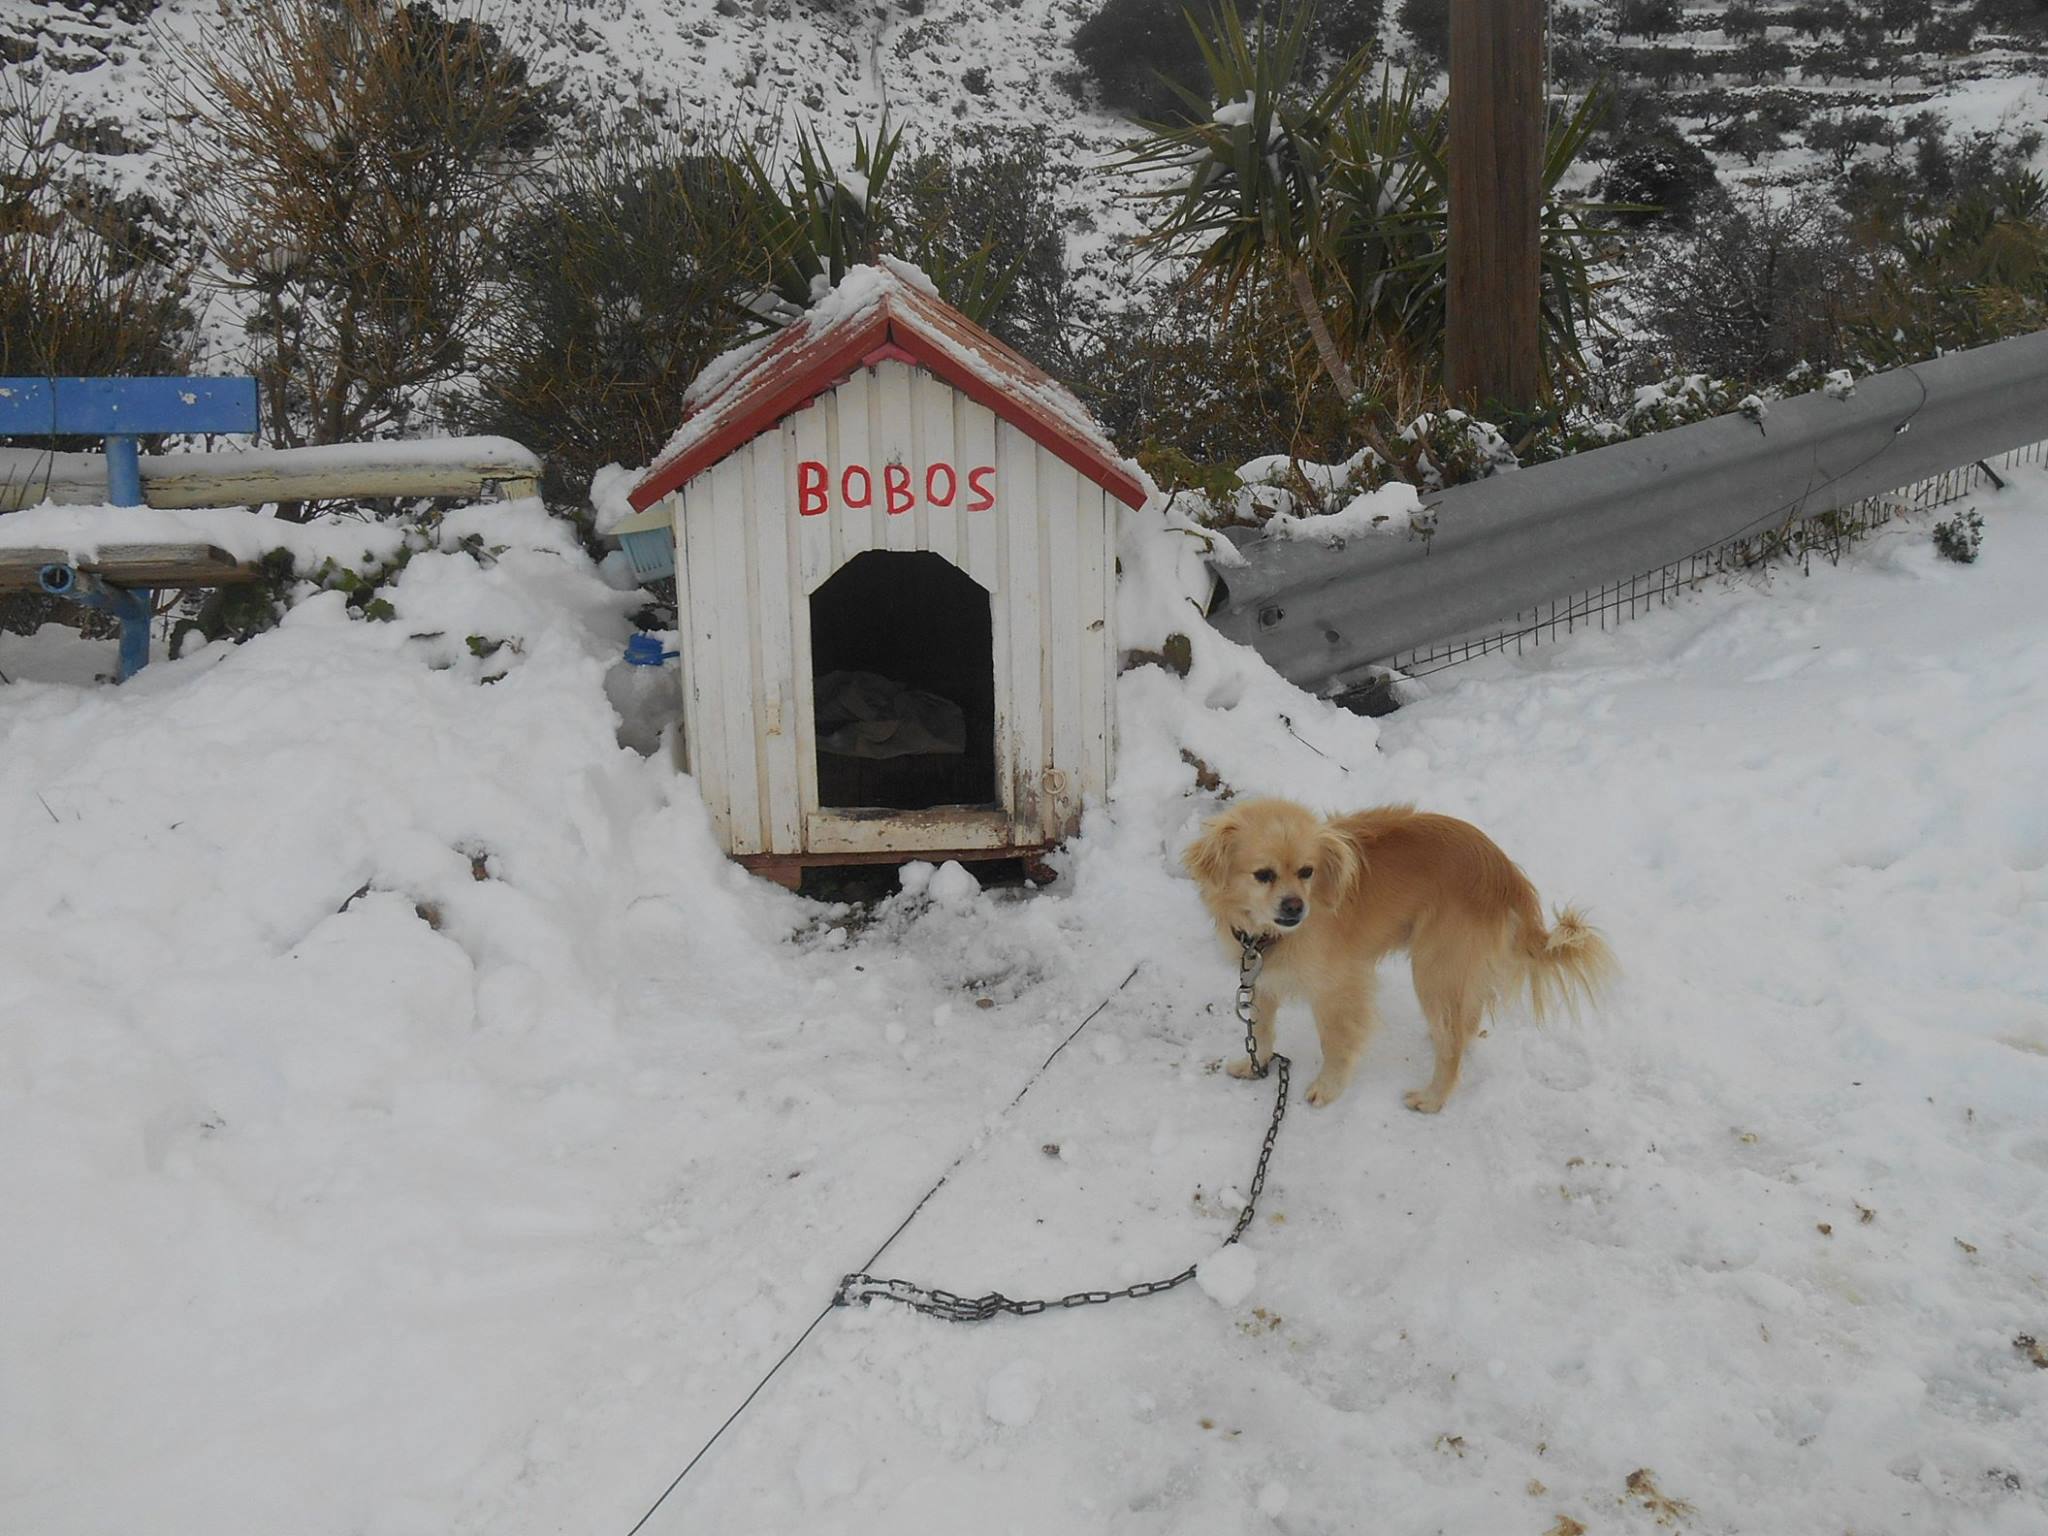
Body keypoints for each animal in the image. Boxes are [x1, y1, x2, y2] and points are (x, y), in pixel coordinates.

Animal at [1187, 798, 1613, 1114]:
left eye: (1307, 872)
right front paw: (1255, 1065)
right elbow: (1260, 1030)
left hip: (1433, 968)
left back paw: (1433, 1098)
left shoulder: (1339, 991)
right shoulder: (1260, 979)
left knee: (1453, 1044)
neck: (1268, 935)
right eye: (1263, 875)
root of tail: (1505, 873)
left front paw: (1328, 1088)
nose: (1295, 907)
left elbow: (1335, 1043)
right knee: (1466, 1021)